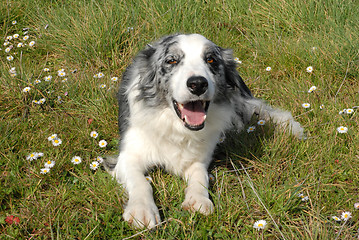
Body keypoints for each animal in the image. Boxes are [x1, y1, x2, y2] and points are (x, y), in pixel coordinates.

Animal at [104, 33, 304, 229]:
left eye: (211, 59)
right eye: (171, 60)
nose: (198, 84)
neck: (177, 129)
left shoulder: (199, 159)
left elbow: (200, 176)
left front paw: (198, 200)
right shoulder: (128, 156)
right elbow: (141, 182)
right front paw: (142, 210)